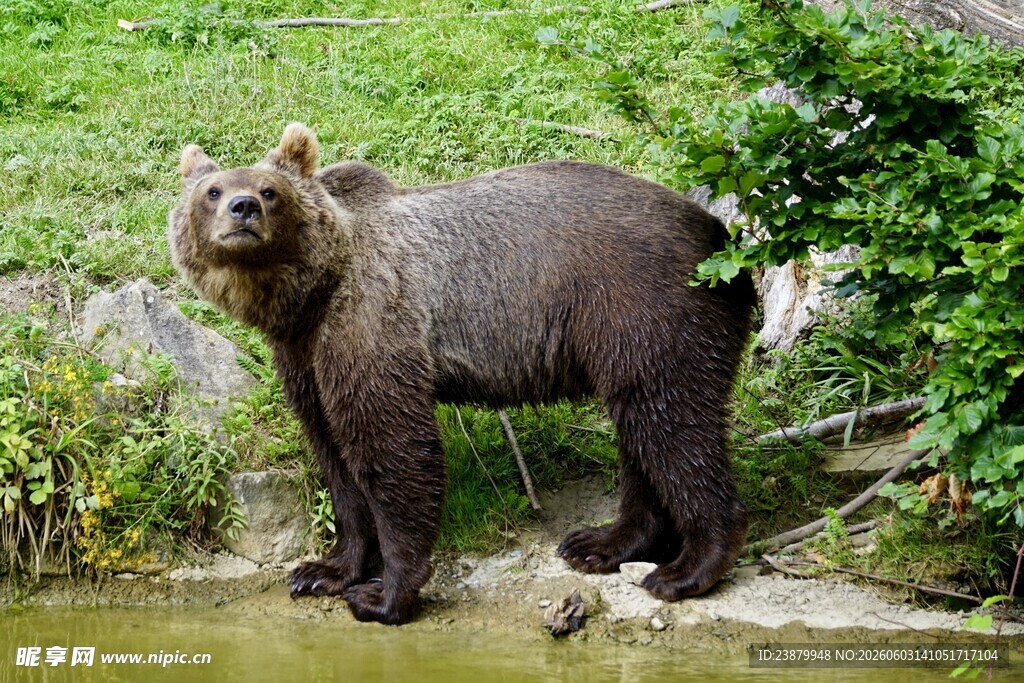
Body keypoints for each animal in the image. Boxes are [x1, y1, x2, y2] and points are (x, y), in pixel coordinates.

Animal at [168, 123, 755, 625]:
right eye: (213, 191)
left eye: (269, 190)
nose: (243, 208)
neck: (309, 296)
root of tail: (723, 239)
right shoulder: (305, 357)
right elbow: (334, 455)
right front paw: (323, 571)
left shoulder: (372, 323)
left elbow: (393, 448)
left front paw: (385, 593)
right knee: (642, 429)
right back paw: (602, 542)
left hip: (646, 308)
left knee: (672, 424)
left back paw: (687, 568)